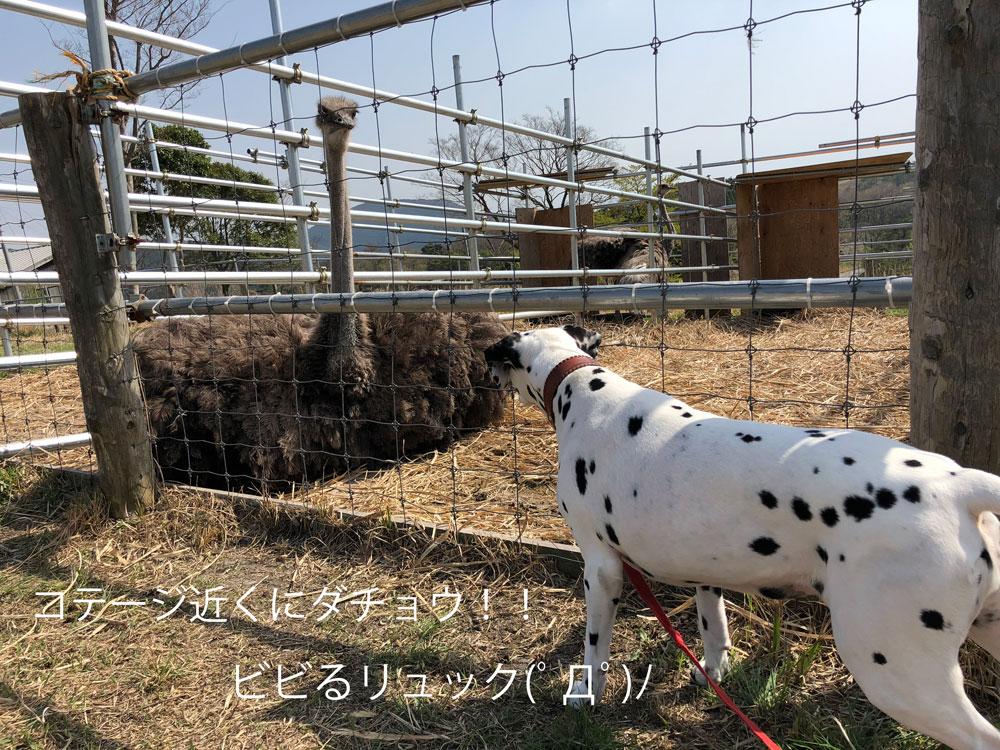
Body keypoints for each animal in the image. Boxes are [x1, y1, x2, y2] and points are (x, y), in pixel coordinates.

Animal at [486, 326, 1000, 750]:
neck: (581, 386)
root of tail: (960, 484)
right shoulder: (704, 571)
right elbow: (713, 628)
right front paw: (712, 672)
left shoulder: (602, 568)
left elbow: (595, 649)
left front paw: (585, 693)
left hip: (897, 671)